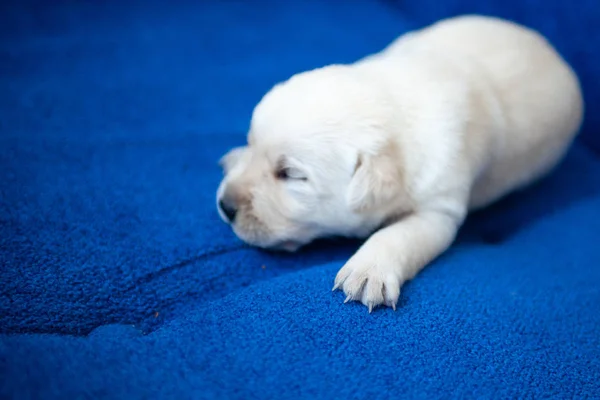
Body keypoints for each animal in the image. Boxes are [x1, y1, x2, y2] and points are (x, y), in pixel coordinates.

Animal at [214, 16, 580, 312]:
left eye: (289, 175)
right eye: (252, 143)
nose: (225, 206)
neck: (391, 108)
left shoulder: (439, 207)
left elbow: (401, 233)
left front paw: (368, 269)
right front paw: (237, 156)